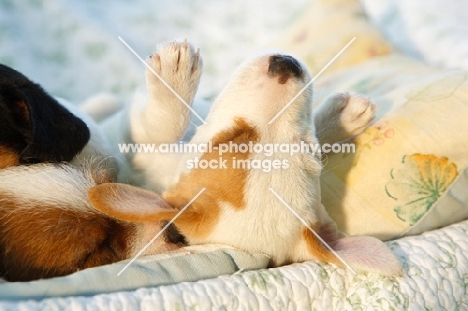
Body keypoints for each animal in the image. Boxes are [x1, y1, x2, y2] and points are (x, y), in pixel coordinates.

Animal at [0, 40, 402, 282]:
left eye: (308, 152)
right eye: (231, 140)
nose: (285, 64)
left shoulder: (139, 152)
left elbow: (159, 127)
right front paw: (340, 119)